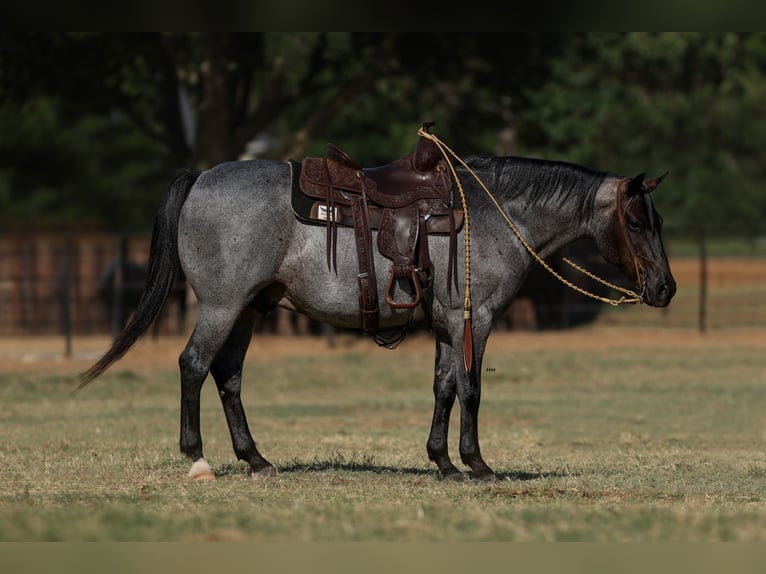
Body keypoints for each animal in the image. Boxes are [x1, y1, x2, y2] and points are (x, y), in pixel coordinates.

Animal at [79, 144, 680, 482]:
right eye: (638, 222)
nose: (666, 288)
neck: (491, 215)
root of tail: (201, 178)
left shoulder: (446, 324)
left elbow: (443, 388)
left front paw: (443, 462)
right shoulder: (474, 318)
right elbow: (471, 389)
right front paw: (478, 465)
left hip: (247, 311)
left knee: (227, 376)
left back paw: (256, 459)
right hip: (223, 307)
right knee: (194, 365)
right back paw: (198, 458)